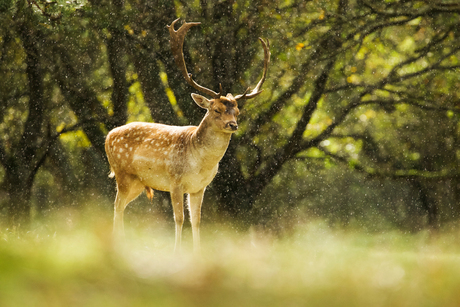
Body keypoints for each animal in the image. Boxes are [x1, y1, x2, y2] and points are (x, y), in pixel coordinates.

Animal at [104, 19, 270, 253]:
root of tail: (108, 136)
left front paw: (197, 252)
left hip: (138, 182)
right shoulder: (175, 181)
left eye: (237, 111)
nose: (233, 125)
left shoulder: (200, 187)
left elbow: (197, 220)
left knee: (121, 207)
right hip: (122, 173)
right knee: (117, 207)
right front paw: (176, 251)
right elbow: (179, 218)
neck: (200, 163)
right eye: (216, 109)